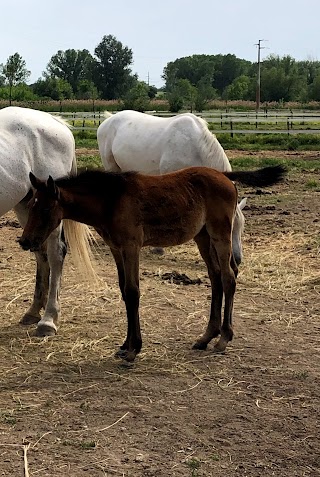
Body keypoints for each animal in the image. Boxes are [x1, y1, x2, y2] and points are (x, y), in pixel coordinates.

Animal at [0, 107, 95, 338]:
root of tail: (55, 121)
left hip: (50, 213)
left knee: (55, 254)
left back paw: (48, 319)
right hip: (28, 209)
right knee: (40, 254)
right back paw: (34, 311)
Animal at [96, 109, 246, 262]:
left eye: (242, 227)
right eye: (231, 227)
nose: (237, 259)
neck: (193, 146)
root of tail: (110, 118)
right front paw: (158, 248)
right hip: (111, 166)